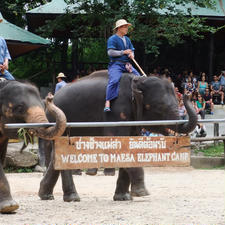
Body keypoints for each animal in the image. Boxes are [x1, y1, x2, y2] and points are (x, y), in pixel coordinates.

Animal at [37, 70, 198, 202]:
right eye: (160, 107)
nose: (188, 93)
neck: (137, 81)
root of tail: (50, 99)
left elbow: (130, 145)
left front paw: (124, 197)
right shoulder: (116, 112)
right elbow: (118, 145)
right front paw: (142, 193)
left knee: (58, 154)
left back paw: (46, 195)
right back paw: (72, 198)